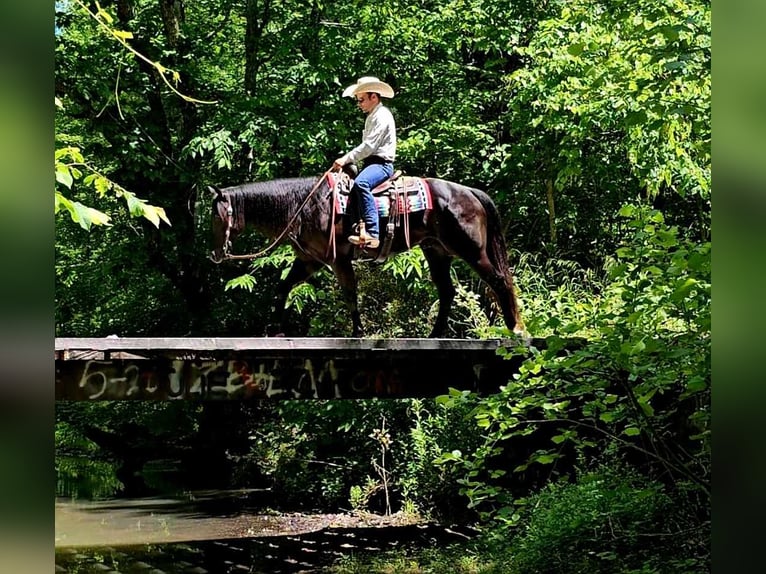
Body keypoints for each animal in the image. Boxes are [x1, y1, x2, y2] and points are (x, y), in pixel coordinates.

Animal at [209, 171, 524, 338]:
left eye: (217, 217)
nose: (214, 254)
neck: (306, 206)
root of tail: (470, 192)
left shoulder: (338, 260)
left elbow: (350, 293)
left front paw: (357, 332)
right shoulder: (310, 261)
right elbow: (283, 287)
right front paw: (277, 331)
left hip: (471, 250)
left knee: (499, 281)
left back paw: (515, 330)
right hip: (437, 252)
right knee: (447, 291)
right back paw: (435, 336)